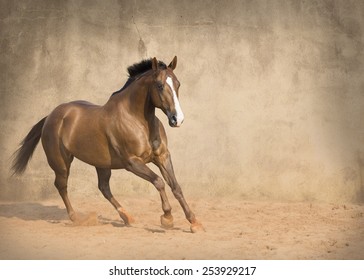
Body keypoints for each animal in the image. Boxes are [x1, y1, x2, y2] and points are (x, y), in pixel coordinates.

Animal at [11, 55, 203, 233]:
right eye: (160, 85)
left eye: (178, 84)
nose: (177, 119)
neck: (138, 121)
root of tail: (50, 116)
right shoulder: (132, 162)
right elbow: (159, 182)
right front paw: (167, 218)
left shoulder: (162, 156)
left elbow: (175, 187)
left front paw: (194, 222)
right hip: (61, 163)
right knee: (62, 186)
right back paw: (76, 217)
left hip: (101, 164)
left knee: (103, 188)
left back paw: (127, 217)